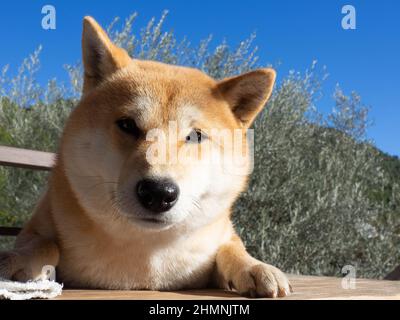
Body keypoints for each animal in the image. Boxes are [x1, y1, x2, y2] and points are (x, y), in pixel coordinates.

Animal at [0, 16, 290, 298]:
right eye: (127, 125)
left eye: (195, 136)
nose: (158, 192)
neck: (146, 259)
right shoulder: (36, 227)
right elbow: (45, 243)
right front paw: (18, 259)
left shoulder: (223, 235)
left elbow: (232, 249)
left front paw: (257, 267)